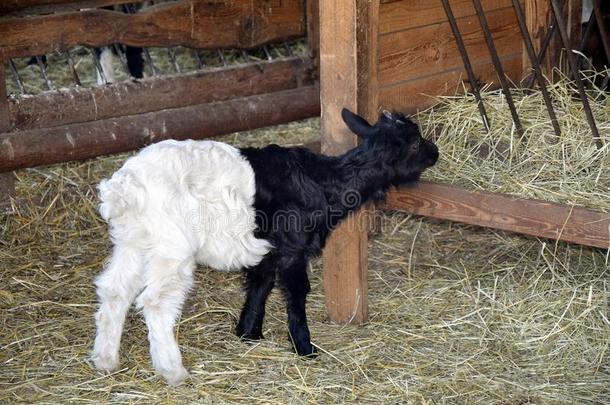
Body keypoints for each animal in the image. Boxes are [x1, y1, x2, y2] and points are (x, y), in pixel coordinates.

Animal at [91, 108, 436, 386]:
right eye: (415, 143)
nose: (435, 152)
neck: (325, 182)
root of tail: (123, 189)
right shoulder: (293, 248)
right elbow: (296, 294)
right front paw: (304, 348)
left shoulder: (269, 248)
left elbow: (260, 283)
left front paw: (248, 333)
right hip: (170, 246)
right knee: (156, 302)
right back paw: (172, 370)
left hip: (133, 241)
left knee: (115, 290)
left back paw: (105, 360)